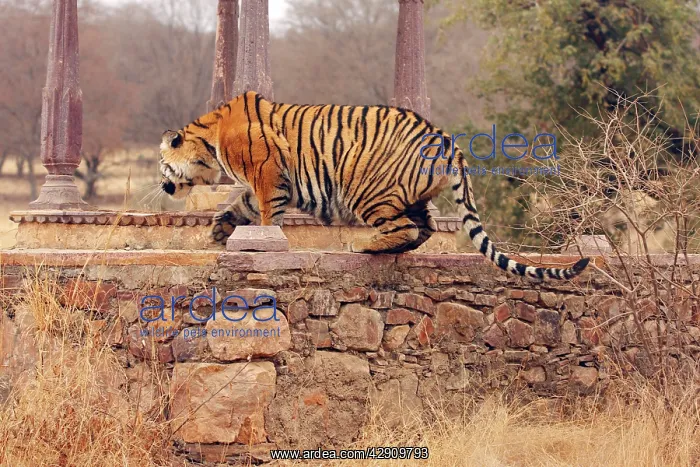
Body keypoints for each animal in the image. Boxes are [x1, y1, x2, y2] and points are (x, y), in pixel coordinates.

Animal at [159, 91, 590, 280]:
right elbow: (240, 205)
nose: (162, 187)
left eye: (163, 165)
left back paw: (365, 245)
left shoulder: (268, 175)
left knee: (408, 229)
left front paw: (261, 239)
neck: (210, 138)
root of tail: (445, 138)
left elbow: (264, 211)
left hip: (365, 190)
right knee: (424, 228)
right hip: (412, 196)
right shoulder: (267, 182)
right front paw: (220, 230)